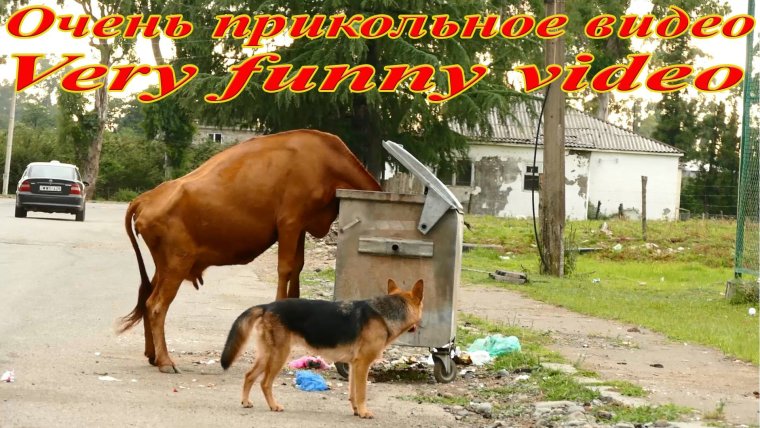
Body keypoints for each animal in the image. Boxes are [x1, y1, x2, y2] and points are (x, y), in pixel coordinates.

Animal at [118, 129, 381, 374]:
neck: (327, 162)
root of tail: (147, 197)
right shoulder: (290, 222)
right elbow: (286, 269)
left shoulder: (301, 227)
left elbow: (297, 270)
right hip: (177, 262)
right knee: (156, 305)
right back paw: (165, 361)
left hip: (165, 265)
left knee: (146, 297)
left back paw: (152, 355)